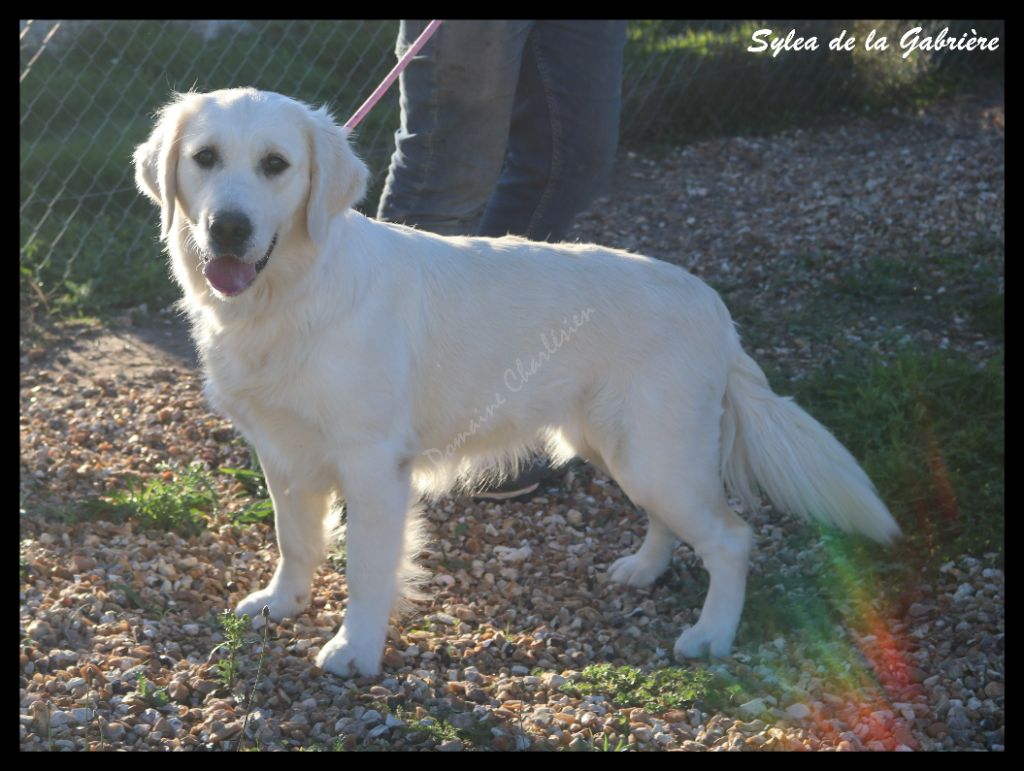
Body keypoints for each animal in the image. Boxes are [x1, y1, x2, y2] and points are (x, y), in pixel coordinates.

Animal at [134, 88, 899, 677]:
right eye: (204, 158)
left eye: (276, 165)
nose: (228, 229)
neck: (291, 294)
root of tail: (715, 308)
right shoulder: (283, 451)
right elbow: (295, 540)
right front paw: (281, 603)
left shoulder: (373, 464)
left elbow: (367, 568)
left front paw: (356, 649)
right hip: (623, 448)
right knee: (675, 522)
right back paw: (643, 569)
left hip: (656, 453)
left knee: (732, 539)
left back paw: (711, 635)